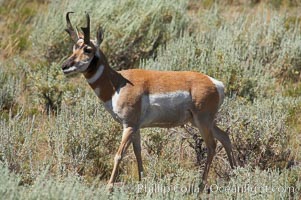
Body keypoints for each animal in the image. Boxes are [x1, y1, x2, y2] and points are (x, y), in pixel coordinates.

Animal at [61, 12, 234, 189]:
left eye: (87, 49)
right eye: (74, 47)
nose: (64, 66)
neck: (117, 83)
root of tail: (215, 83)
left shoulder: (129, 126)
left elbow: (119, 155)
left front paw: (109, 187)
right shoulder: (135, 128)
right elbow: (138, 153)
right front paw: (141, 181)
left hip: (202, 121)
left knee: (212, 145)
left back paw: (201, 185)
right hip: (201, 122)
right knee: (225, 137)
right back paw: (236, 173)